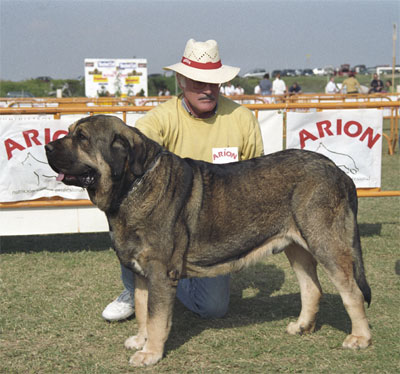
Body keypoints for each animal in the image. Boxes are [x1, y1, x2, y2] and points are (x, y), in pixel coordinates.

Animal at [44, 114, 372, 366]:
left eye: (82, 138)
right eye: (71, 132)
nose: (46, 145)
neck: (133, 185)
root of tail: (338, 171)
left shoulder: (160, 272)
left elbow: (156, 316)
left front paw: (150, 353)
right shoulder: (140, 273)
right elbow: (141, 309)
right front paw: (140, 340)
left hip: (326, 244)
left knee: (352, 292)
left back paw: (360, 337)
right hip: (297, 246)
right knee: (311, 288)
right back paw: (302, 326)